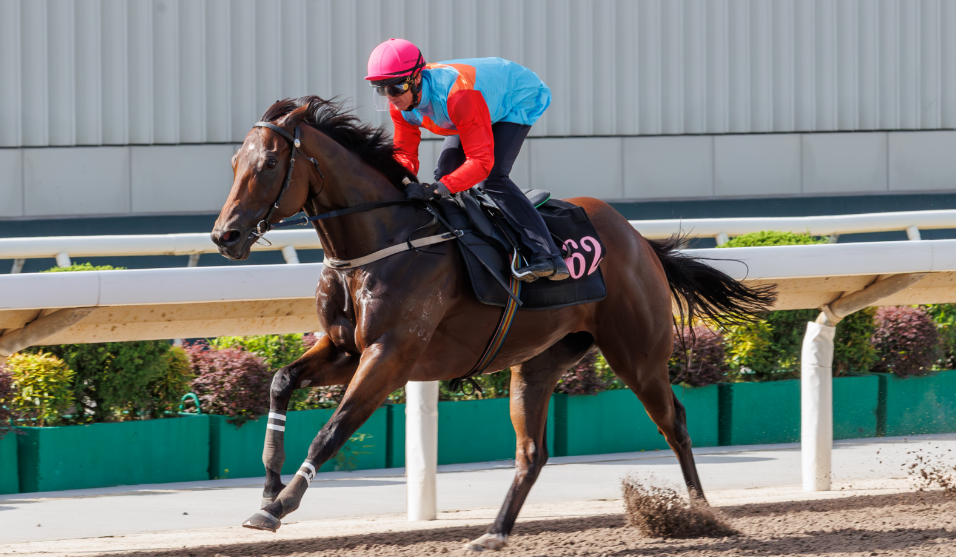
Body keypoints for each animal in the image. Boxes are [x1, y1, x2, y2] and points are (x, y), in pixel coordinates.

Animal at [211, 96, 774, 552]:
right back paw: (495, 532)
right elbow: (281, 382)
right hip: (539, 362)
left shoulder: (390, 354)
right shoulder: (346, 348)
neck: (382, 241)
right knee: (531, 452)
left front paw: (278, 506)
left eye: (268, 164)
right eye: (234, 162)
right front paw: (267, 487)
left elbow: (331, 431)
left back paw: (702, 515)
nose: (224, 236)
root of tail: (640, 240)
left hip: (637, 354)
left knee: (674, 422)